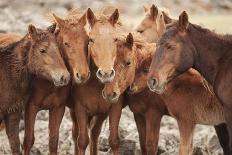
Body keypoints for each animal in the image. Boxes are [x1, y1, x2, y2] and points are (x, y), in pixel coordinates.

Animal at [21, 11, 90, 155]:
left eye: (87, 41)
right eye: (66, 43)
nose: (83, 75)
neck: (48, 83)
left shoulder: (58, 108)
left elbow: (53, 141)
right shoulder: (30, 107)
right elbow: (28, 140)